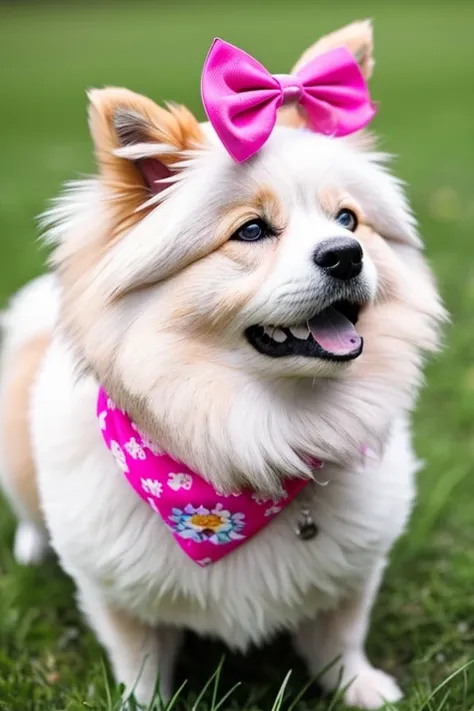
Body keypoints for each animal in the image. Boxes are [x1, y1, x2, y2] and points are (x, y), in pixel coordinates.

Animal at [0, 19, 444, 708]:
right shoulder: (114, 593)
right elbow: (140, 663)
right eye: (252, 231)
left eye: (348, 220)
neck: (254, 437)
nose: (346, 254)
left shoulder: (353, 570)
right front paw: (145, 703)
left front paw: (363, 688)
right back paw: (30, 545)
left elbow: (339, 637)